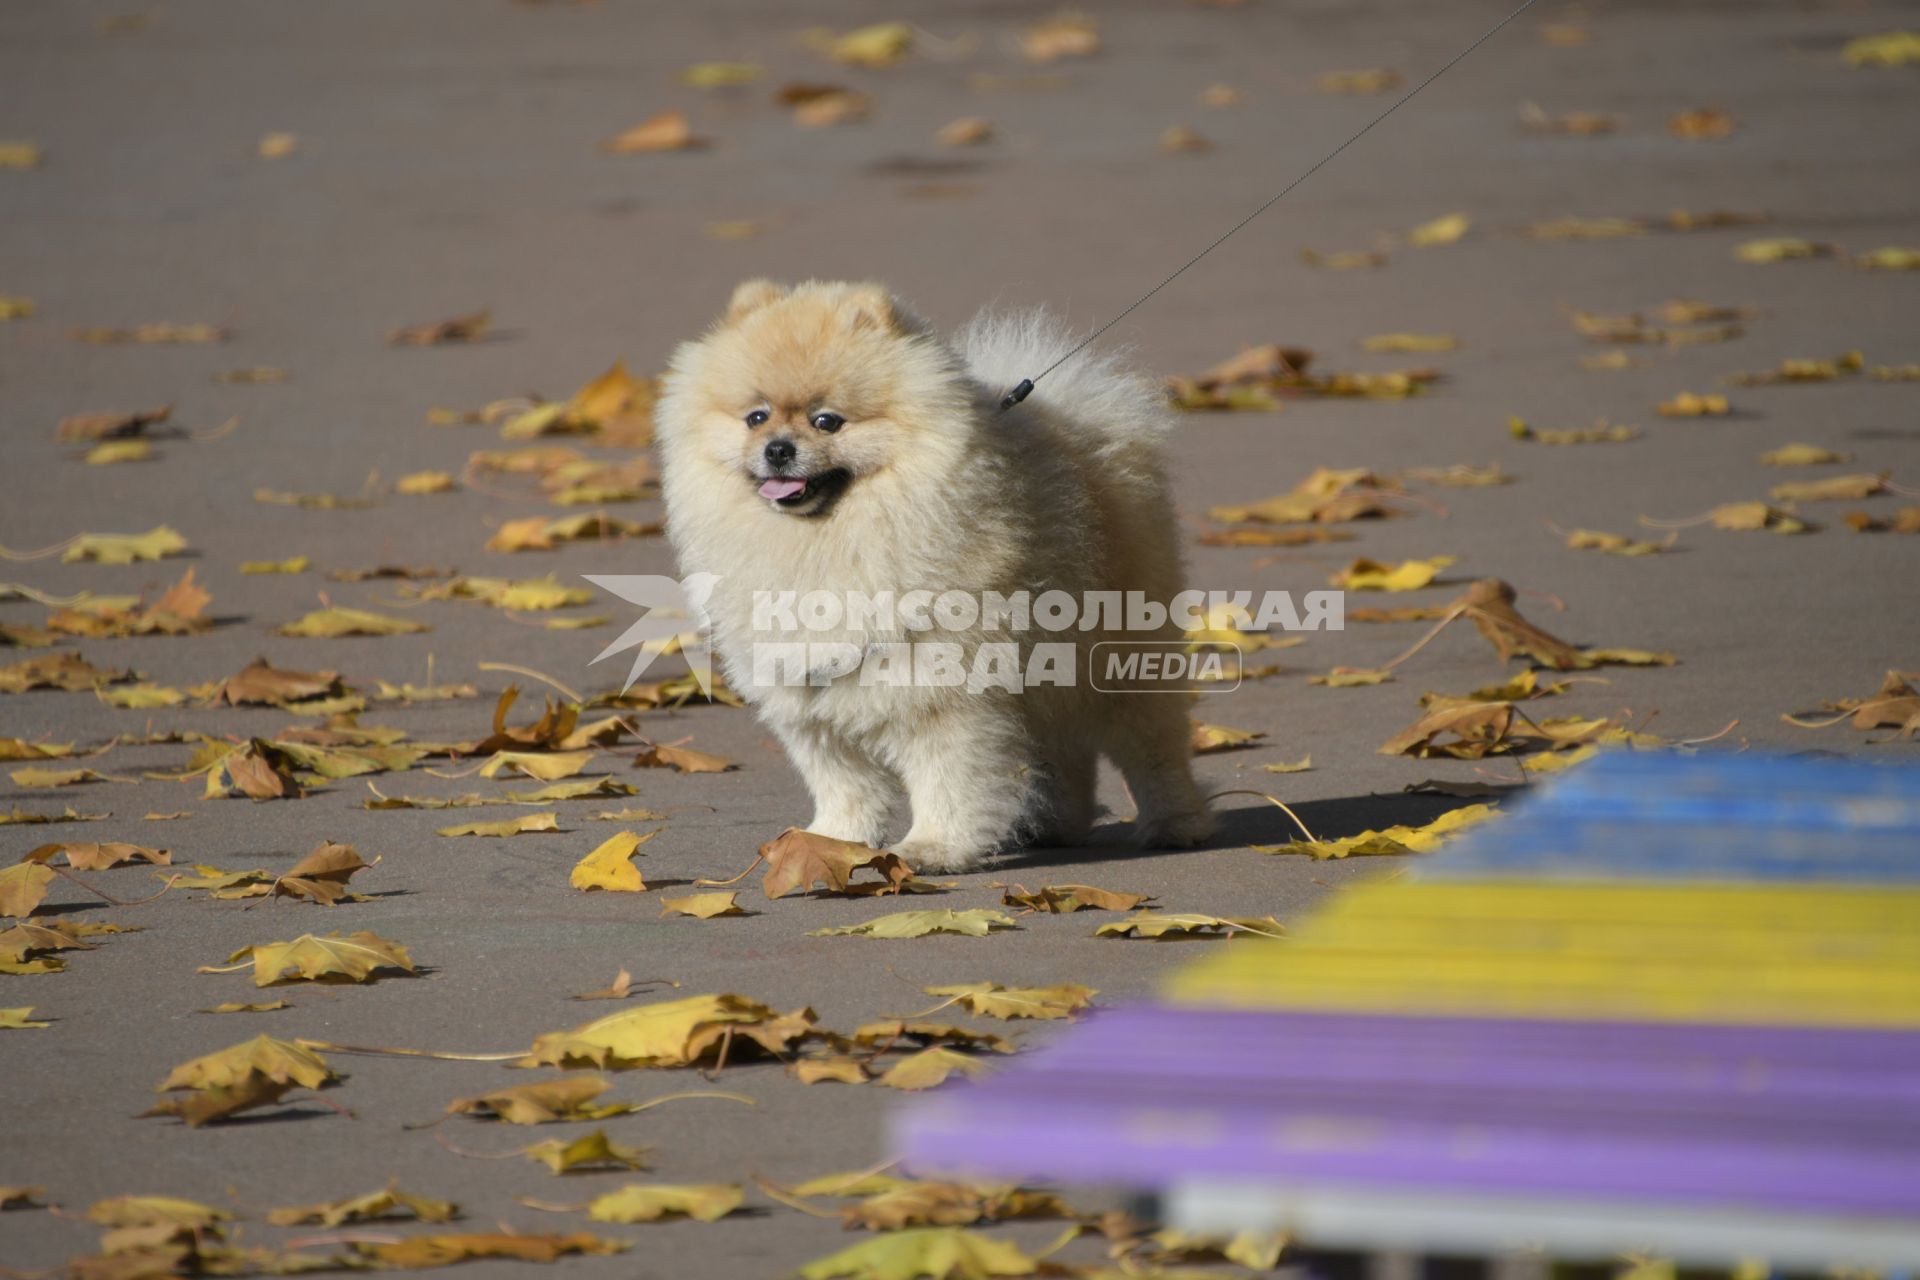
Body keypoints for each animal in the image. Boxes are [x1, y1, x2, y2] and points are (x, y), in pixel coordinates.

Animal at [652, 278, 1205, 871]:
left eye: (827, 421)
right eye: (756, 417)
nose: (778, 449)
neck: (824, 541)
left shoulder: (944, 689)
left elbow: (948, 777)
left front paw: (933, 847)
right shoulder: (809, 696)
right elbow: (843, 781)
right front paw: (827, 842)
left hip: (1121, 661)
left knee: (1151, 746)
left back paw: (1176, 823)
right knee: (1064, 746)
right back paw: (1057, 826)